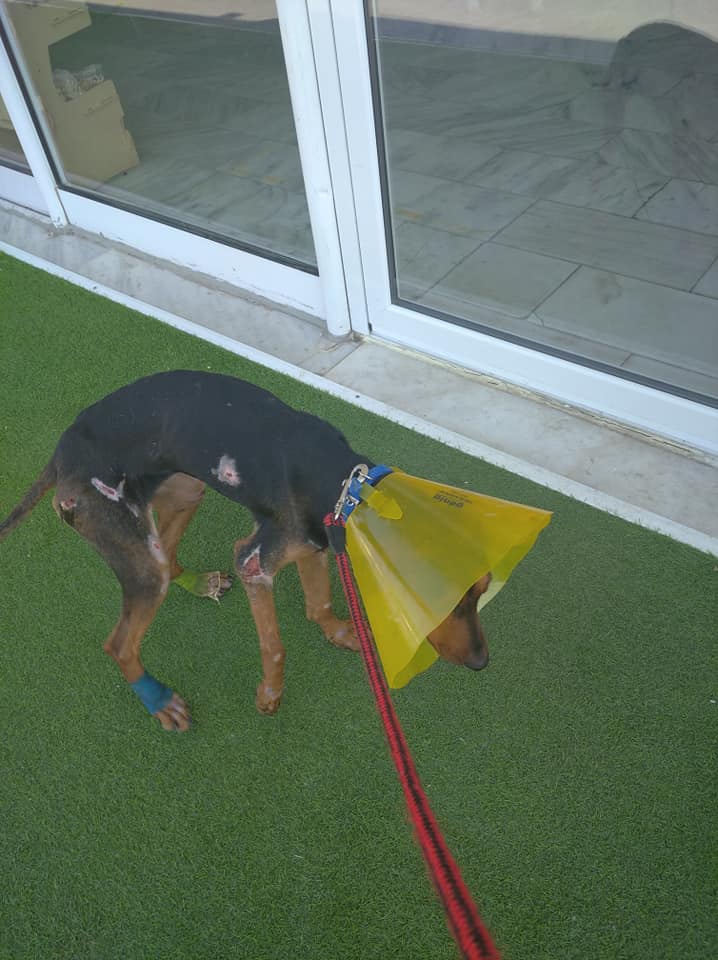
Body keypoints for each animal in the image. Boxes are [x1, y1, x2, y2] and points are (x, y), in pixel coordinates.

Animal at [0, 370, 492, 731]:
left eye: (483, 589)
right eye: (444, 602)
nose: (482, 664)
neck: (345, 486)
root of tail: (62, 449)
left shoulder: (312, 544)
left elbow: (319, 604)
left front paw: (341, 634)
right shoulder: (254, 561)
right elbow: (275, 646)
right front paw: (270, 695)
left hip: (185, 491)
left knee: (170, 556)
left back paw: (199, 584)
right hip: (137, 558)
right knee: (119, 644)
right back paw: (159, 702)